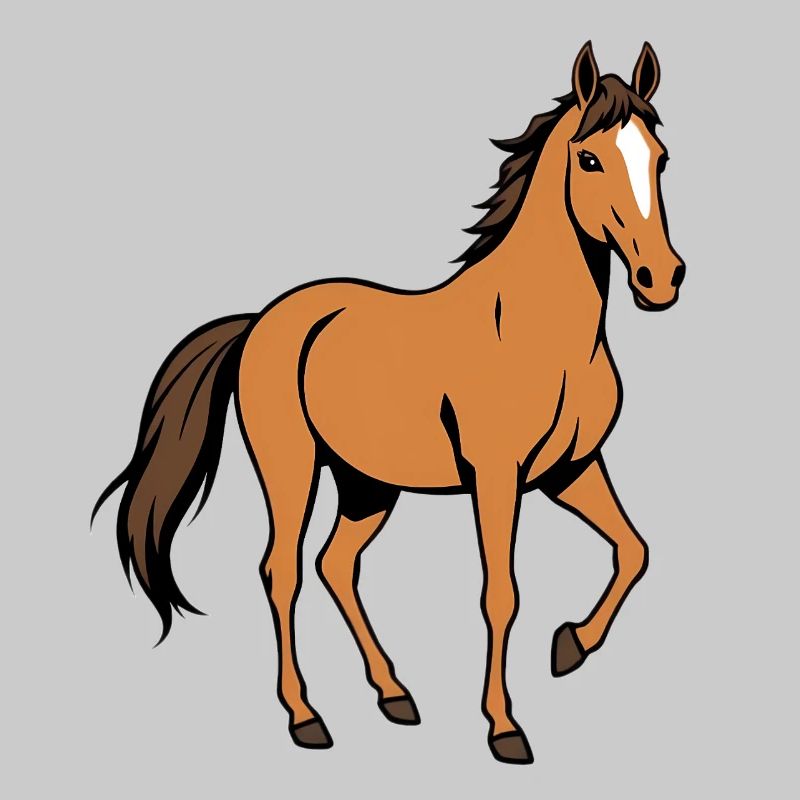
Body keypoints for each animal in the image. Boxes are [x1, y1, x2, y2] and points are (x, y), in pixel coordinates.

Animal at [93, 41, 684, 764]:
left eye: (660, 158)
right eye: (591, 158)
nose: (662, 279)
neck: (533, 328)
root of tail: (261, 320)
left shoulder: (571, 470)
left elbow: (634, 550)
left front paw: (568, 647)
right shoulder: (497, 476)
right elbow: (501, 594)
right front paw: (504, 728)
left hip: (366, 484)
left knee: (336, 565)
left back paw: (395, 695)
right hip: (292, 469)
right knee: (282, 571)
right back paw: (306, 718)